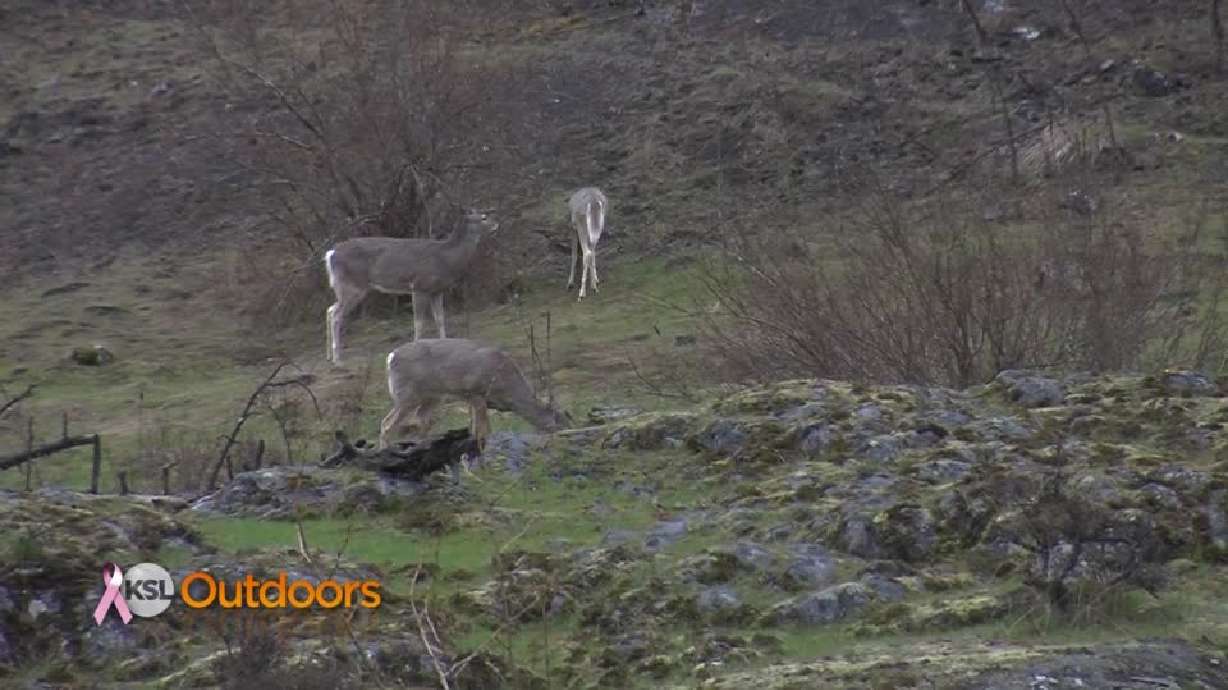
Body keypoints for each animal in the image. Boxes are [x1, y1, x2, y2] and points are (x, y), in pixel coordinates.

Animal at [324, 209, 498, 365]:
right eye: (483, 217)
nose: (496, 224)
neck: (445, 258)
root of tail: (331, 253)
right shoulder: (418, 286)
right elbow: (419, 322)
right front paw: (416, 347)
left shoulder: (437, 290)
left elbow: (440, 319)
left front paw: (445, 344)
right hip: (353, 286)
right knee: (337, 315)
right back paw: (338, 359)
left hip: (345, 287)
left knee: (330, 309)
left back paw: (329, 356)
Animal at [379, 338, 573, 453]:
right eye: (560, 422)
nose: (569, 438)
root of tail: (390, 357)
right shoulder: (476, 393)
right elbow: (482, 430)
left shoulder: (475, 401)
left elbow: (477, 428)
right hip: (406, 394)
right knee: (387, 423)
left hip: (432, 397)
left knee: (420, 418)